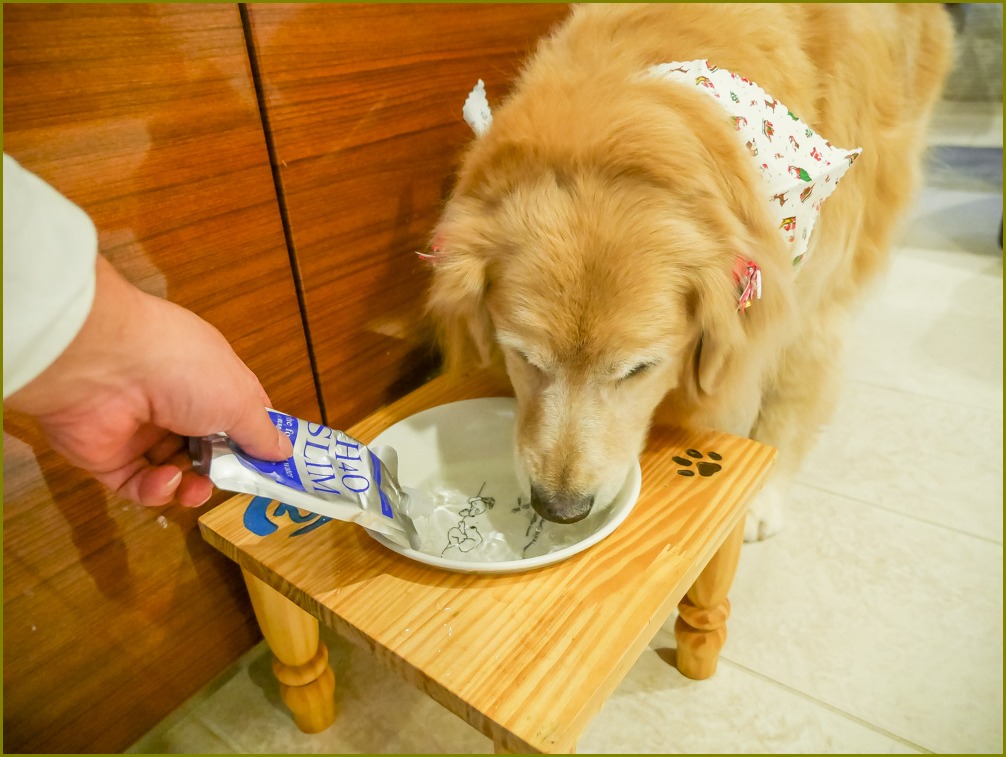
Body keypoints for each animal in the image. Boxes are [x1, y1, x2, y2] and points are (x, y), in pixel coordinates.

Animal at [422, 2, 949, 539]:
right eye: (523, 357)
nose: (559, 509)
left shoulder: (811, 303)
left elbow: (789, 398)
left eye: (639, 370)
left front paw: (762, 498)